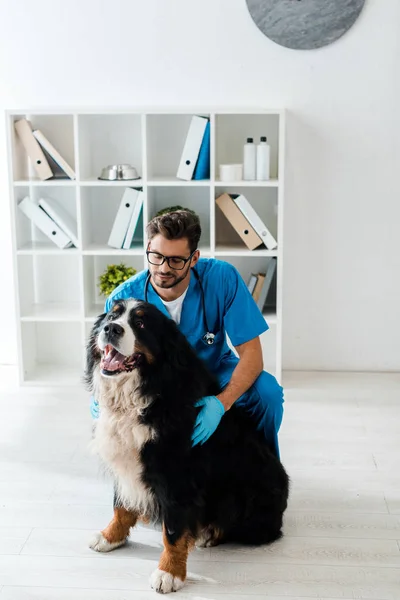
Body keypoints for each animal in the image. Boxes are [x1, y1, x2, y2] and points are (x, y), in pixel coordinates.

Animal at [85, 298, 290, 592]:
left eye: (141, 323)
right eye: (112, 316)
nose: (111, 329)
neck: (145, 393)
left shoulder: (176, 474)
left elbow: (173, 531)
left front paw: (169, 572)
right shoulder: (125, 459)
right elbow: (120, 506)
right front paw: (110, 536)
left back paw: (209, 534)